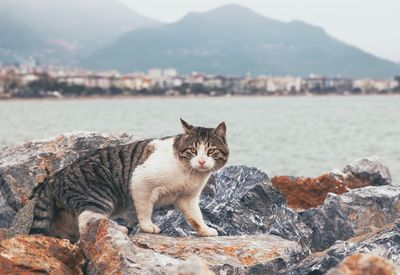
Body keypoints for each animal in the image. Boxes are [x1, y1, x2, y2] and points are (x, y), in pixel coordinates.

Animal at [6, 118, 230, 242]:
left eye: (210, 151)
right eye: (192, 150)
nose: (201, 161)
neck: (189, 173)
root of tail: (56, 175)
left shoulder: (187, 198)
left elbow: (196, 217)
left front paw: (205, 231)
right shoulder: (140, 182)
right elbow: (144, 210)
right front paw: (148, 227)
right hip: (101, 196)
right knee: (87, 222)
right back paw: (119, 228)